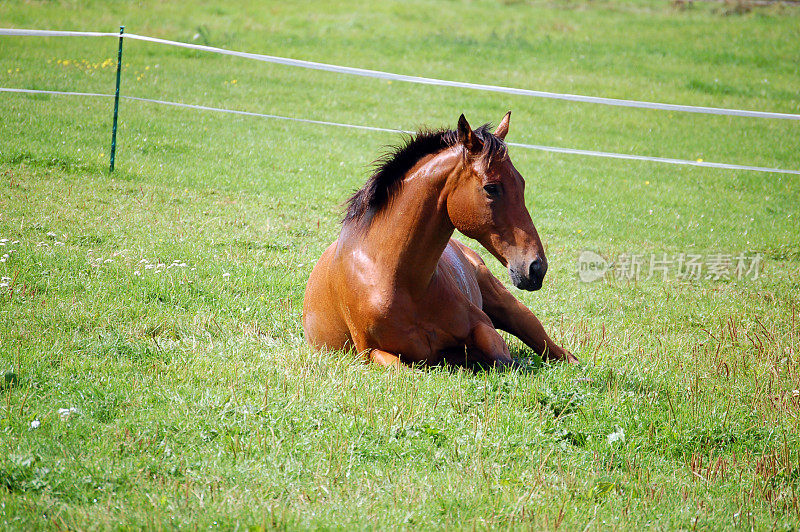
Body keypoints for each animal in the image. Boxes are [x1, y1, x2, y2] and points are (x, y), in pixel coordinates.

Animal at [304, 112, 580, 368]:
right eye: (491, 188)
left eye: (521, 183)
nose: (536, 267)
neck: (399, 281)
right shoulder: (370, 352)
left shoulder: (482, 327)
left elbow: (502, 359)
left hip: (511, 308)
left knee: (557, 351)